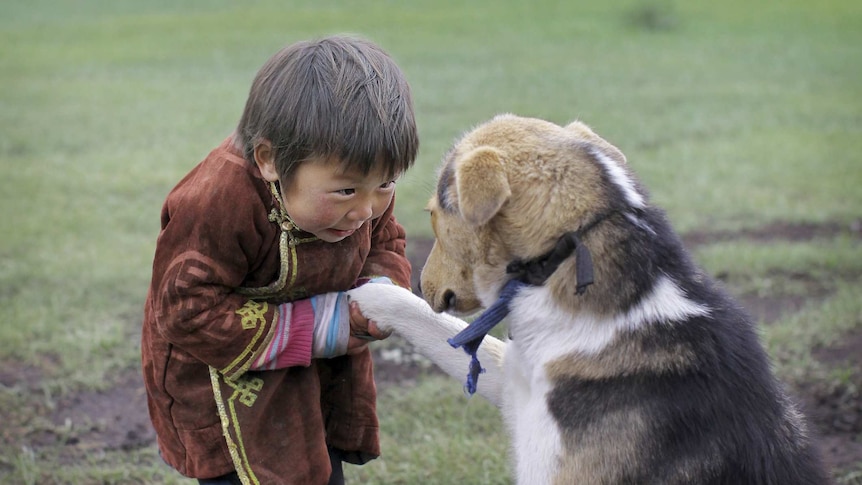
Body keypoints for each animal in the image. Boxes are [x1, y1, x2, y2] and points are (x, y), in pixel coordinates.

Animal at [348, 114, 832, 484]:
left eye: (432, 214)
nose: (424, 284)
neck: (560, 260)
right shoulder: (515, 387)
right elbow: (427, 324)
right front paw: (360, 293)